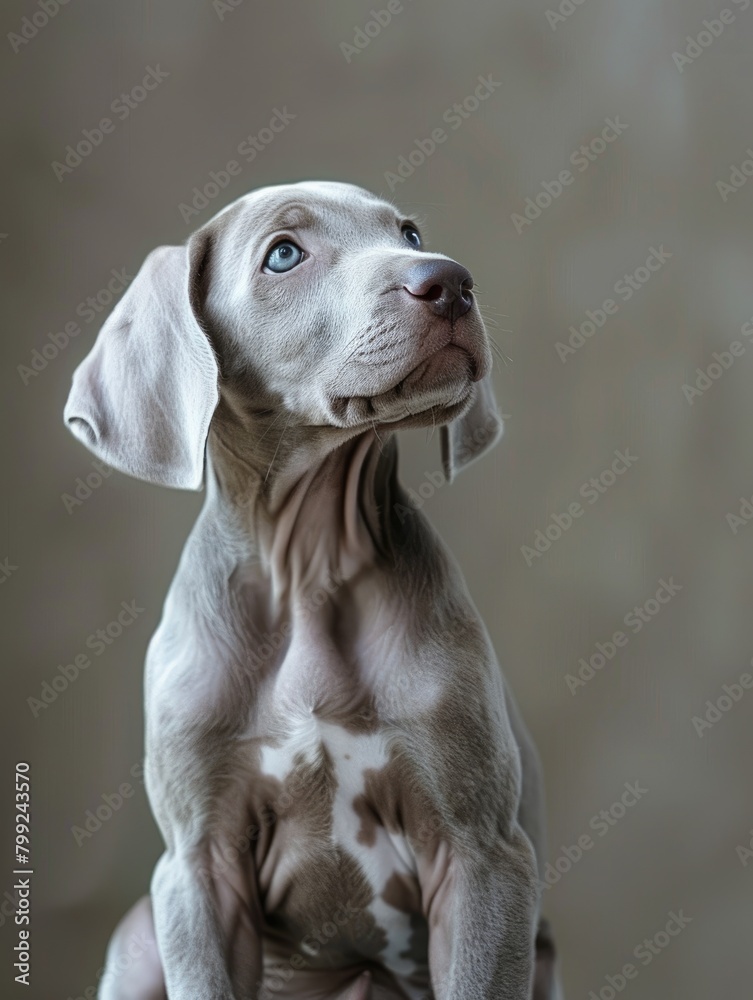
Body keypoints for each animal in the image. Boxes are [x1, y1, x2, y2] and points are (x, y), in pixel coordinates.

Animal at [64, 182, 560, 1000]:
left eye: (409, 232)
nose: (450, 281)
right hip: (139, 935)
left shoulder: (482, 853)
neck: (311, 567)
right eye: (283, 254)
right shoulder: (197, 868)